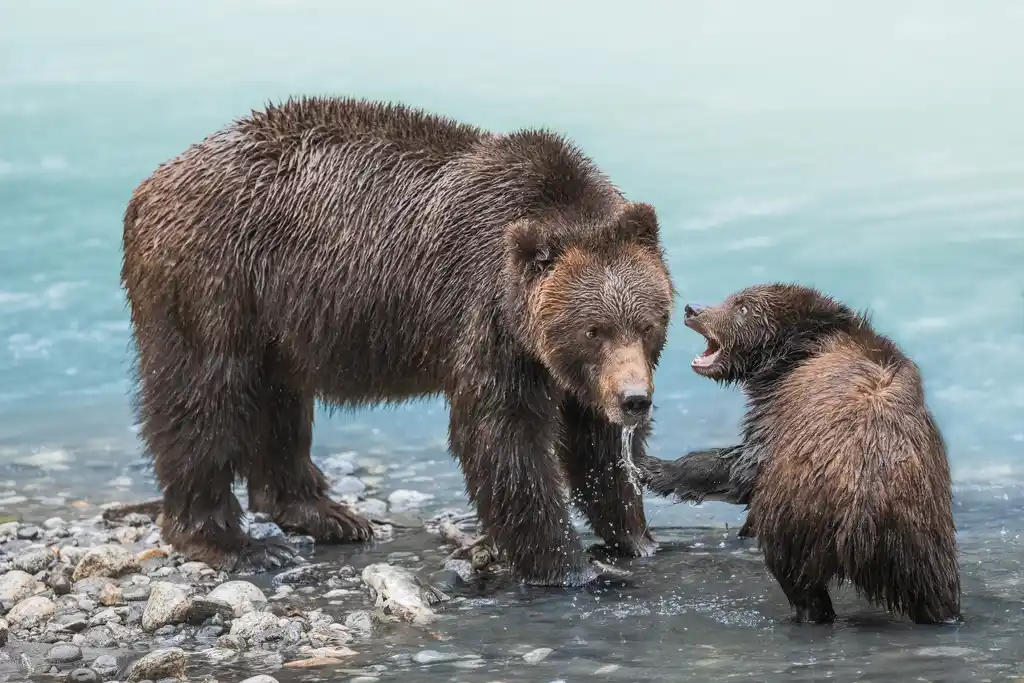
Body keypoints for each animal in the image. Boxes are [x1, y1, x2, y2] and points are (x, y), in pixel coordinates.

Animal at [117, 95, 675, 586]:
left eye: (648, 324)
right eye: (593, 330)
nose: (634, 400)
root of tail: (152, 182)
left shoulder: (569, 368)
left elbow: (596, 443)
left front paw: (637, 536)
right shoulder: (489, 316)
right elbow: (504, 436)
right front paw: (569, 567)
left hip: (279, 321)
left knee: (282, 404)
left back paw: (327, 513)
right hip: (213, 280)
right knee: (203, 400)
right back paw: (233, 543)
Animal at [637, 282, 961, 624]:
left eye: (742, 307)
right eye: (732, 298)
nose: (693, 310)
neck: (797, 349)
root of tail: (864, 510)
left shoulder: (781, 409)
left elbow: (743, 465)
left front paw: (650, 466)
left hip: (798, 510)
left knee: (796, 574)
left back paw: (806, 611)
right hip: (922, 537)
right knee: (935, 591)